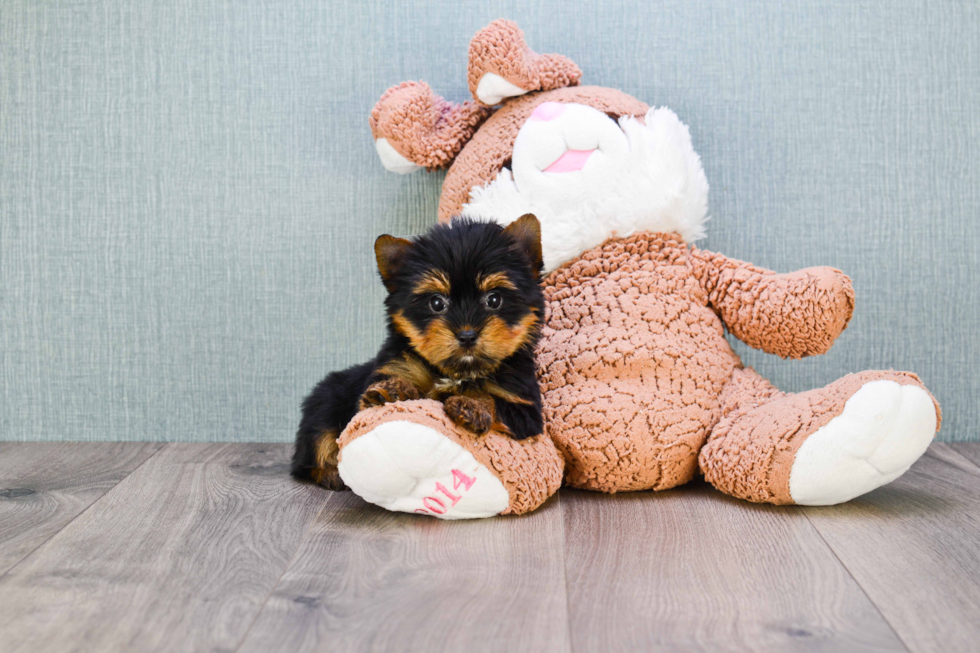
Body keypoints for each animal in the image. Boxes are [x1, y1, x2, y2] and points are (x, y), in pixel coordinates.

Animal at [294, 214, 548, 488]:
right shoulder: (393, 370)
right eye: (436, 303)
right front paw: (393, 390)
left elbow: (494, 400)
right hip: (324, 404)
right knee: (312, 450)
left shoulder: (526, 409)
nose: (467, 335)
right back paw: (330, 474)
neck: (457, 371)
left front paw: (473, 405)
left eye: (494, 299)